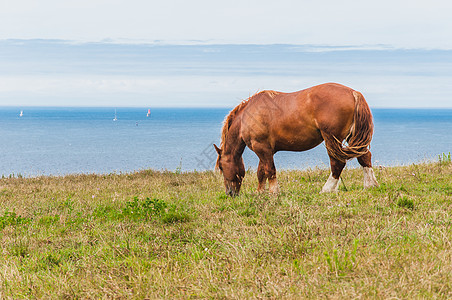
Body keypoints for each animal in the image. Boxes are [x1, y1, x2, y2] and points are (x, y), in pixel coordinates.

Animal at [214, 83, 380, 196]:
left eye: (221, 167)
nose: (230, 193)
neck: (248, 115)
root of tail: (353, 92)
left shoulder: (262, 148)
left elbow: (269, 170)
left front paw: (274, 192)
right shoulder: (265, 150)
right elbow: (261, 172)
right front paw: (260, 192)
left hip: (332, 139)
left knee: (338, 163)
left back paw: (327, 189)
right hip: (352, 138)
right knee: (364, 157)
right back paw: (370, 185)